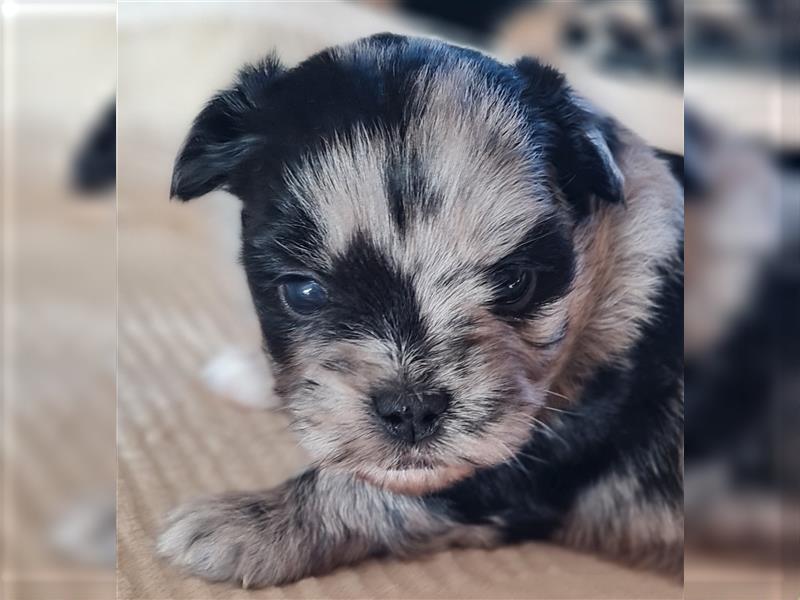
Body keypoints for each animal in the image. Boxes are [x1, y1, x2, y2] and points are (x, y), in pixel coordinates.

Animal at [159, 32, 684, 584]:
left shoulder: (535, 458)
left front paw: (243, 524)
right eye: (303, 292)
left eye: (515, 283)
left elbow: (372, 490)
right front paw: (246, 373)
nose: (411, 410)